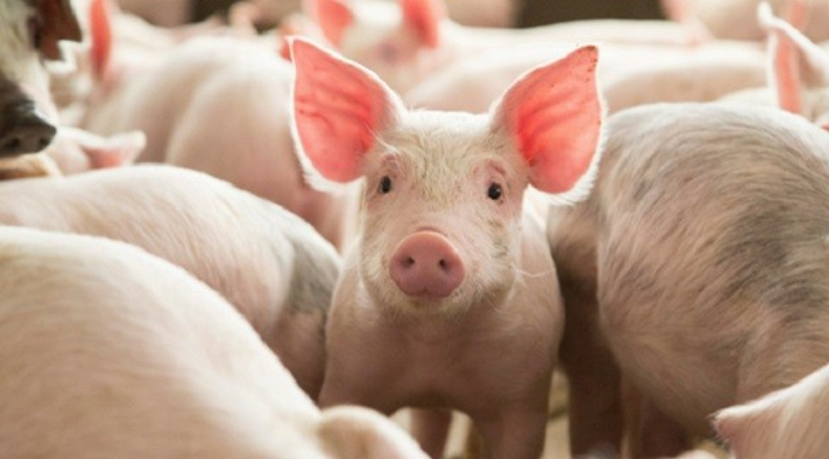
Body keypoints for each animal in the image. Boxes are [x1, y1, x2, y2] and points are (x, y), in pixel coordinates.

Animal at [290, 38, 605, 459]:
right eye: (385, 182)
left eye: (495, 190)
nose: (427, 241)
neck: (435, 346)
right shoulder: (348, 373)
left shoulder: (523, 399)